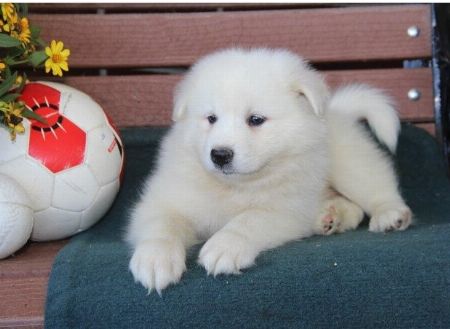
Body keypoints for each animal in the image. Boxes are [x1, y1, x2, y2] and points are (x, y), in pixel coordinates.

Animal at [125, 47, 412, 294]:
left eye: (255, 120)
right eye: (211, 118)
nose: (220, 155)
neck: (233, 187)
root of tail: (336, 112)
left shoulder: (284, 209)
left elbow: (249, 219)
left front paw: (224, 246)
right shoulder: (163, 201)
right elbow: (162, 224)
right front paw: (155, 260)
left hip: (348, 163)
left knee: (376, 186)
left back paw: (390, 215)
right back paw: (329, 218)